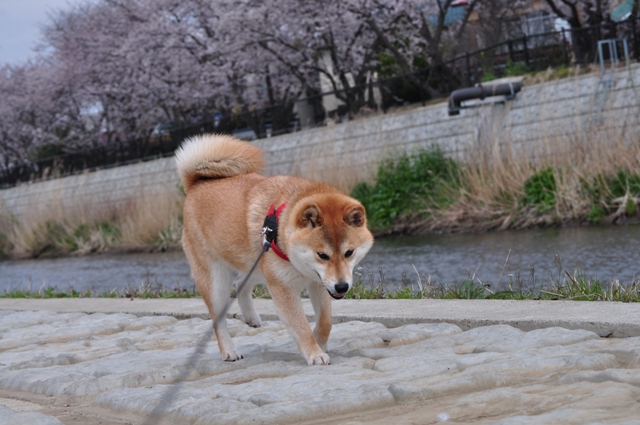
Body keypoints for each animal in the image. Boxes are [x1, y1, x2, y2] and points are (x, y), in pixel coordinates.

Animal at [175, 133, 376, 364]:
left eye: (349, 253)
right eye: (322, 255)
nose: (342, 287)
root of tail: (195, 185)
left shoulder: (319, 283)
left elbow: (326, 321)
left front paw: (320, 341)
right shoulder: (283, 288)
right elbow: (300, 325)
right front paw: (314, 353)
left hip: (256, 264)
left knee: (241, 282)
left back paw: (250, 316)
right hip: (217, 280)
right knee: (219, 320)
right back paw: (229, 350)